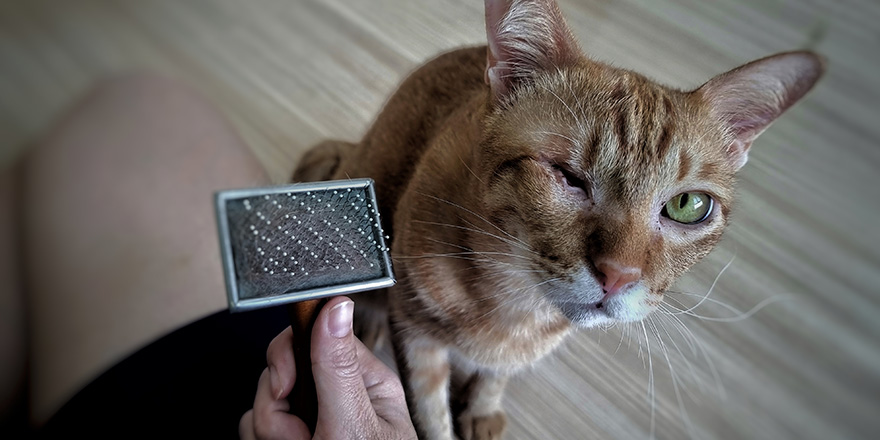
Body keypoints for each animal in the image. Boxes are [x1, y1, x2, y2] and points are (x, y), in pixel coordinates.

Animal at [292, 0, 820, 436]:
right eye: (567, 176)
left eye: (688, 206)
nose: (618, 275)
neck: (516, 308)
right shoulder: (419, 339)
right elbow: (428, 413)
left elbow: (496, 376)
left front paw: (482, 407)